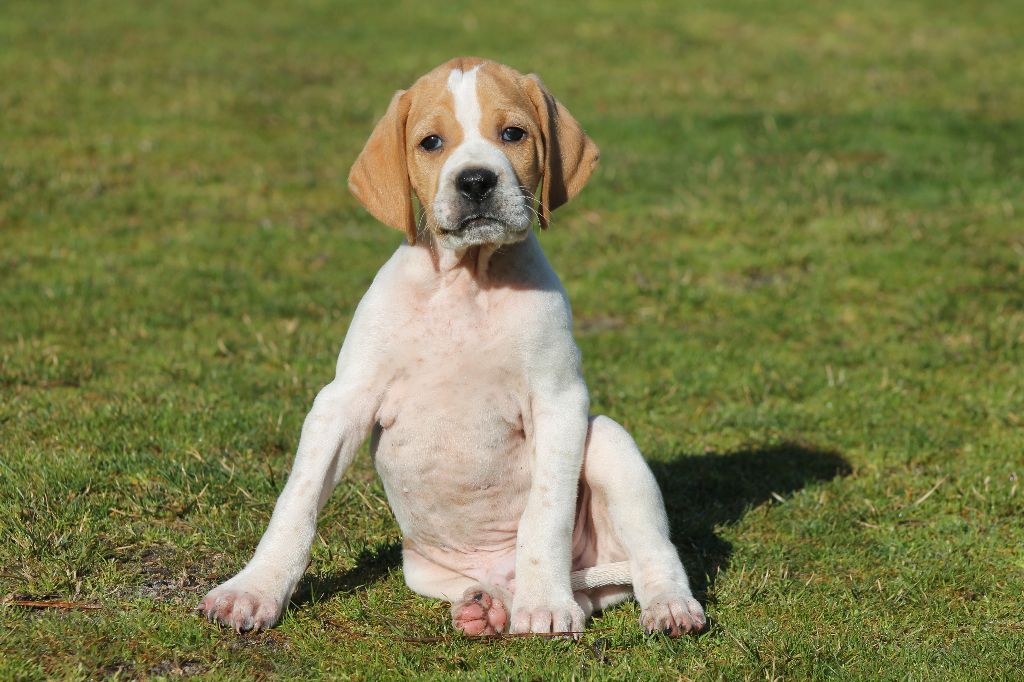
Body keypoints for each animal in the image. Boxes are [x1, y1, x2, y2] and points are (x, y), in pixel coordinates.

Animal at [201, 55, 712, 634]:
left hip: (606, 441)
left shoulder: (559, 401)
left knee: (654, 551)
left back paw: (659, 605)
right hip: (428, 572)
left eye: (512, 134)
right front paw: (253, 590)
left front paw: (545, 605)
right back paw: (489, 608)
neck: (468, 282)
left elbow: (546, 512)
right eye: (431, 142)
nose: (476, 181)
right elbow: (296, 503)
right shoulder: (343, 400)